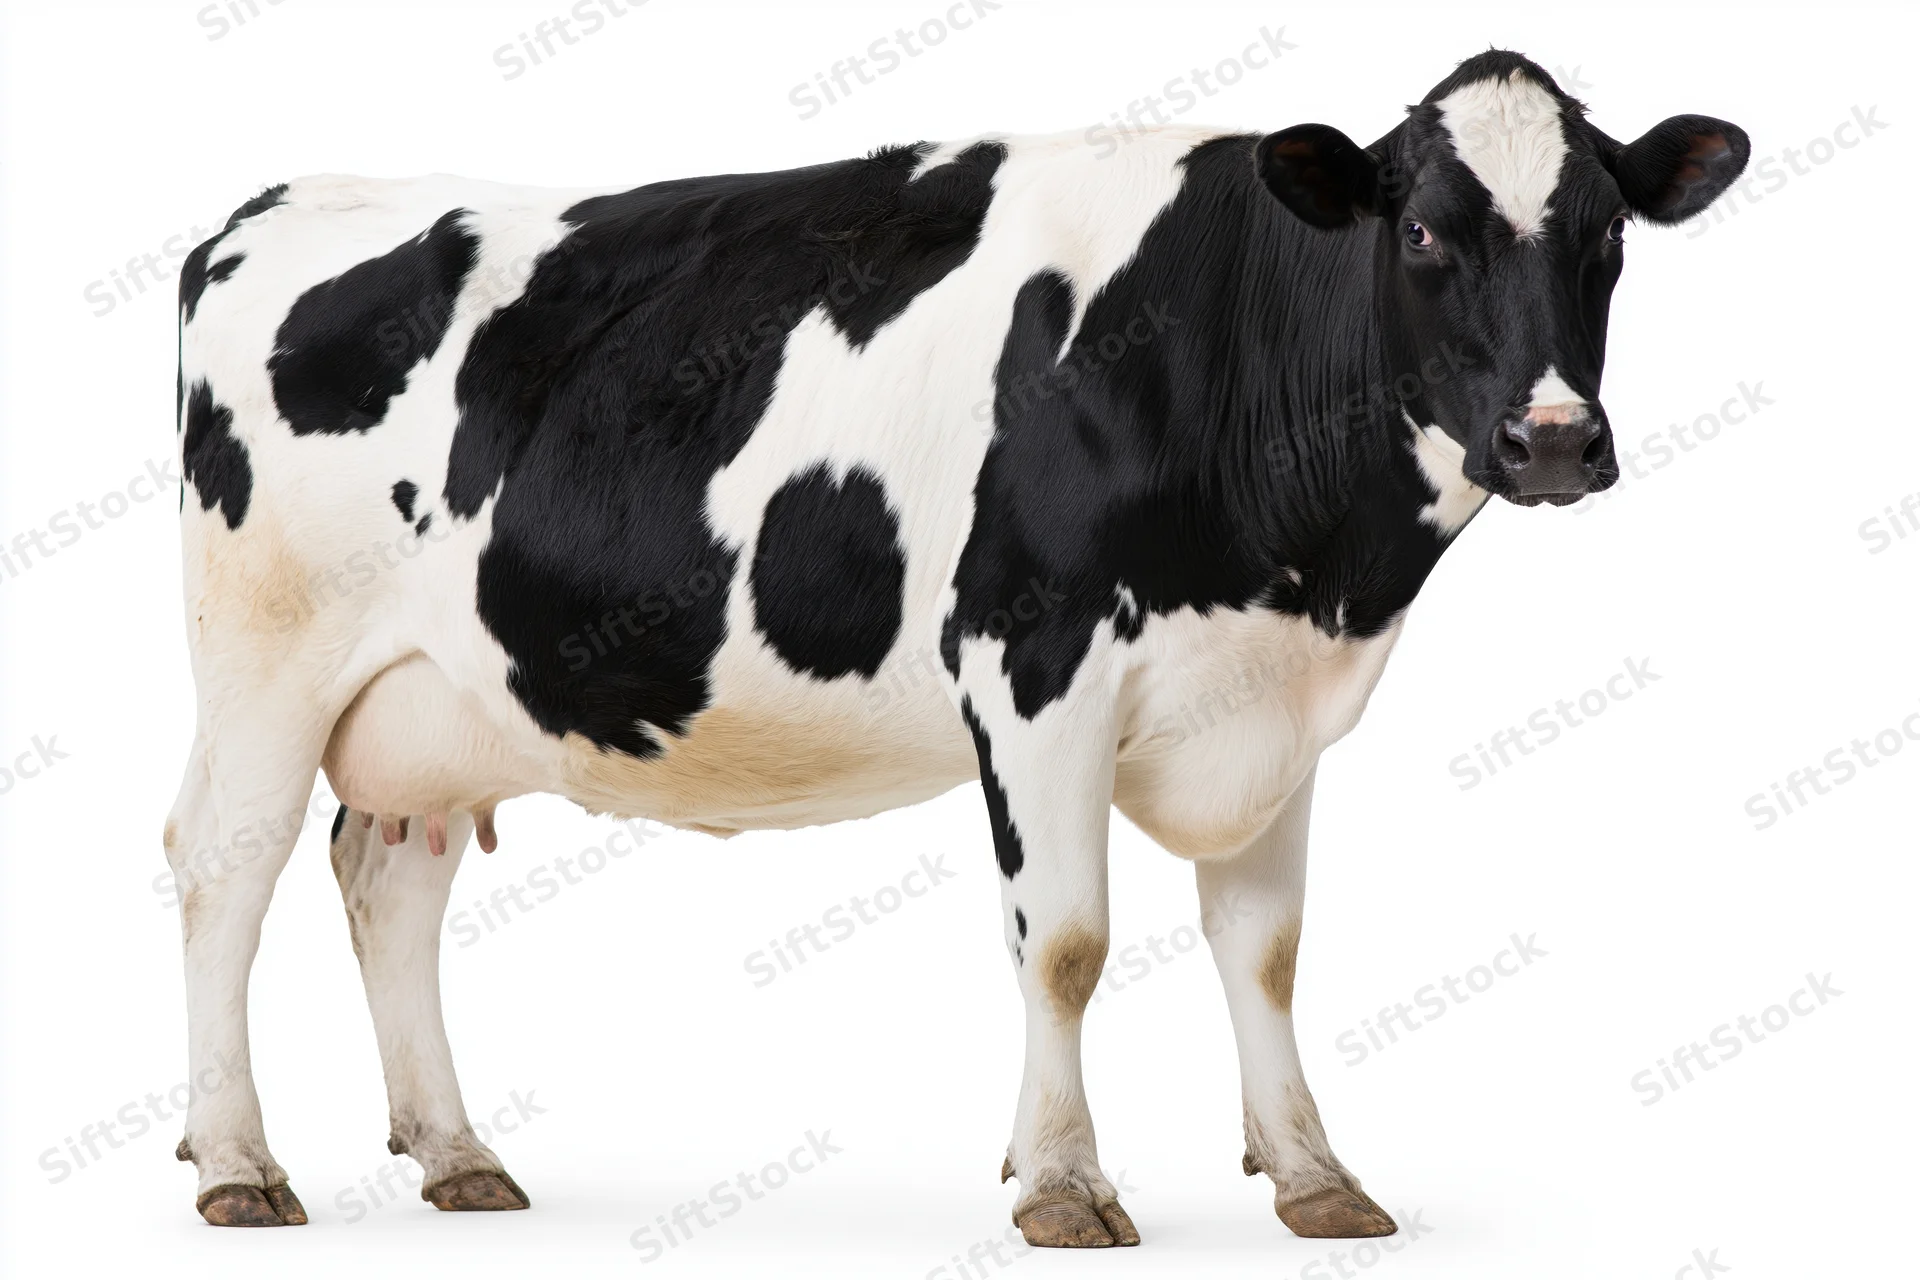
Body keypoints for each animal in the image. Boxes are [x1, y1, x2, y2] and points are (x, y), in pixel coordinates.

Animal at [165, 50, 1747, 1243]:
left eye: (1607, 237)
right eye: (1421, 232)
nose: (1555, 439)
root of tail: (275, 202)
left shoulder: (1272, 703)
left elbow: (1268, 948)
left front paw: (1314, 1175)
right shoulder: (1032, 661)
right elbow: (1068, 941)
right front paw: (1062, 1183)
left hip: (439, 701)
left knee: (389, 884)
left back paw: (456, 1155)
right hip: (264, 659)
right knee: (224, 868)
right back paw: (238, 1163)